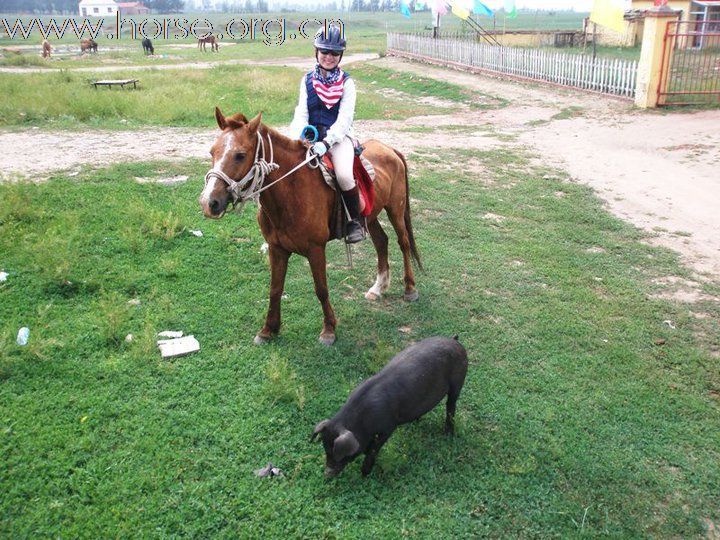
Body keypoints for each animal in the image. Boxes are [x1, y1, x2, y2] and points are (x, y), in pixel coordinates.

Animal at [197, 108, 422, 346]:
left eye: (240, 155)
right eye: (212, 152)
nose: (209, 202)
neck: (291, 191)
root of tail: (389, 149)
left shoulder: (316, 249)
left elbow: (321, 289)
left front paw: (329, 329)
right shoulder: (276, 249)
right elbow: (275, 289)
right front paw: (269, 329)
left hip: (395, 210)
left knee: (403, 243)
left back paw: (410, 288)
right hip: (370, 217)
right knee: (382, 242)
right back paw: (378, 288)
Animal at [312, 336, 470, 478]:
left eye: (338, 454)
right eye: (325, 449)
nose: (326, 475)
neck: (362, 420)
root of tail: (455, 341)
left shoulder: (389, 426)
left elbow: (375, 448)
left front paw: (364, 473)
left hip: (458, 381)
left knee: (451, 406)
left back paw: (448, 434)